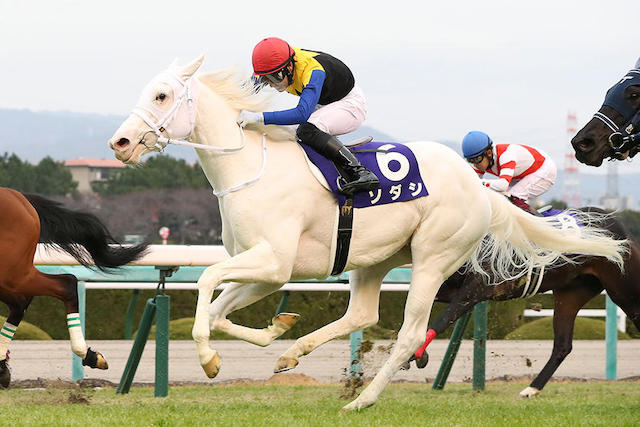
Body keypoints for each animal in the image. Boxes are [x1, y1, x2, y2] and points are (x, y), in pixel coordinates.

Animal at [0, 187, 148, 388]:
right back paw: (2, 366)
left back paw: (87, 354)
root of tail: (20, 197)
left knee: (66, 284)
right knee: (21, 304)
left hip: (12, 274)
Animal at [410, 209, 640, 400]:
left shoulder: (478, 287)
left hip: (624, 291)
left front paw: (416, 354)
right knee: (562, 345)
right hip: (570, 294)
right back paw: (531, 389)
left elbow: (443, 319)